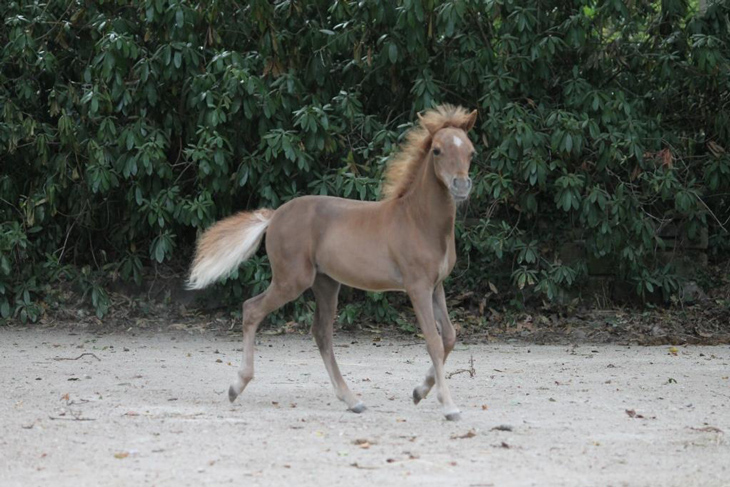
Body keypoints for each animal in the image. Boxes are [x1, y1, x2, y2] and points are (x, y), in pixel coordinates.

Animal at [186, 104, 478, 420]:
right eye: (436, 150)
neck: (419, 220)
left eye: (471, 152)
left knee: (321, 333)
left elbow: (449, 336)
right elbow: (434, 342)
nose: (461, 185)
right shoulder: (417, 286)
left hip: (326, 284)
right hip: (292, 280)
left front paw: (418, 392)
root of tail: (274, 216)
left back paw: (352, 400)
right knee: (252, 309)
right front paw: (448, 406)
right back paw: (236, 386)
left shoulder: (436, 286)